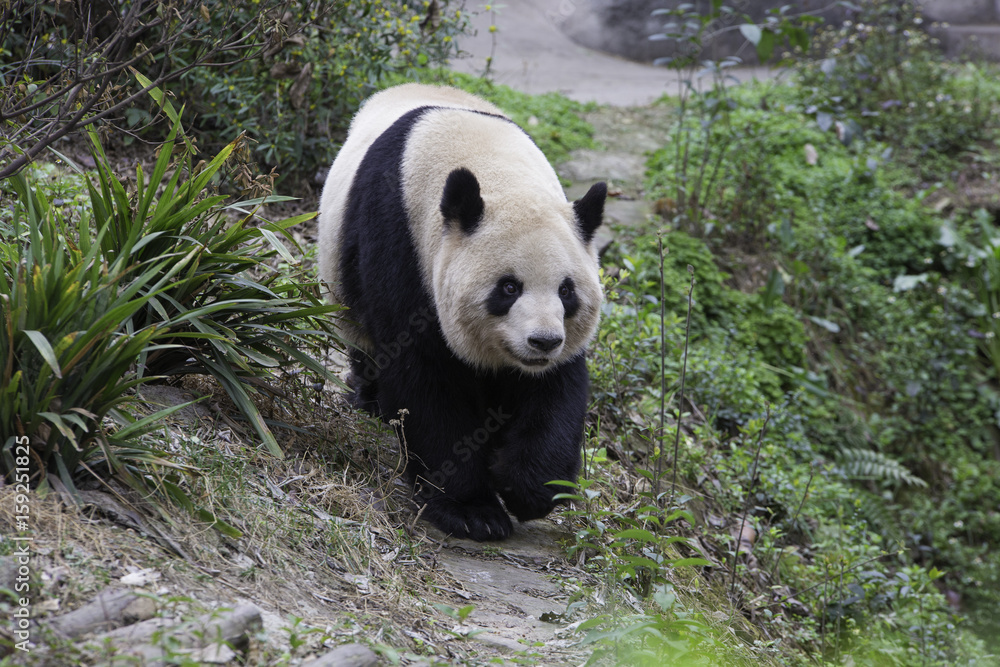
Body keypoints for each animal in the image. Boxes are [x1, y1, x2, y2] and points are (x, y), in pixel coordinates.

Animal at [318, 83, 606, 541]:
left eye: (566, 291)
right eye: (508, 287)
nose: (542, 342)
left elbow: (557, 389)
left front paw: (526, 487)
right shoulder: (401, 241)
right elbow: (425, 376)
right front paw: (472, 511)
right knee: (366, 348)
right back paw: (370, 401)